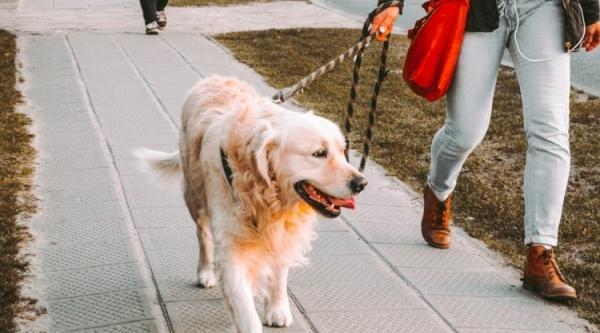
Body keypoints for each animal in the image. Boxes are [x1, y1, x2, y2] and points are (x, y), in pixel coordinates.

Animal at [137, 76, 366, 332]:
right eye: (319, 153)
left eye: (343, 151)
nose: (361, 183)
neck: (267, 195)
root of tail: (212, 78)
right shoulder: (231, 247)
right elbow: (244, 305)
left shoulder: (282, 233)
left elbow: (279, 271)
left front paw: (277, 308)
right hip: (194, 195)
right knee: (203, 233)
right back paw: (205, 272)